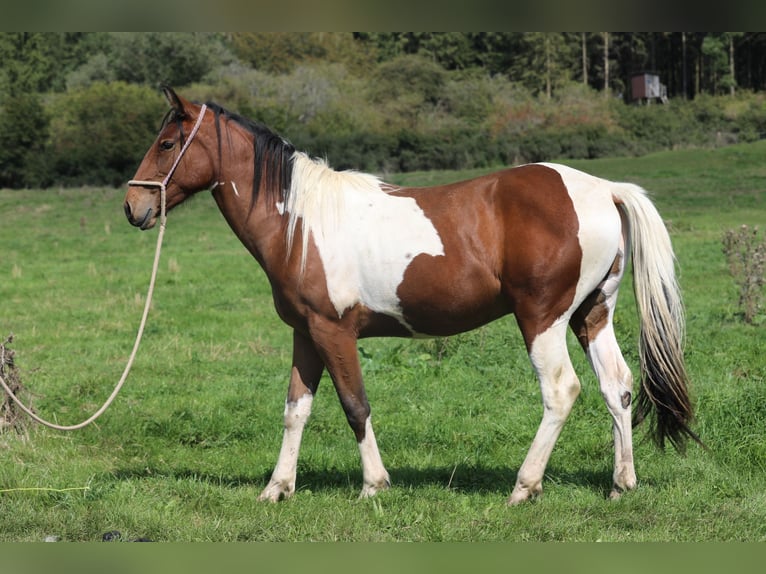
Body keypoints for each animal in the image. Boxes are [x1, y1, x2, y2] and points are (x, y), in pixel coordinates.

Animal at [124, 87, 699, 505]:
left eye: (168, 144)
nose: (134, 207)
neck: (300, 222)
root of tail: (605, 189)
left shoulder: (334, 332)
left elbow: (354, 404)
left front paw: (373, 486)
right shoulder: (305, 333)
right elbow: (296, 409)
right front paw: (276, 489)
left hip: (543, 319)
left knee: (562, 391)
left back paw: (524, 487)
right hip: (591, 315)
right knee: (617, 387)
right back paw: (621, 484)